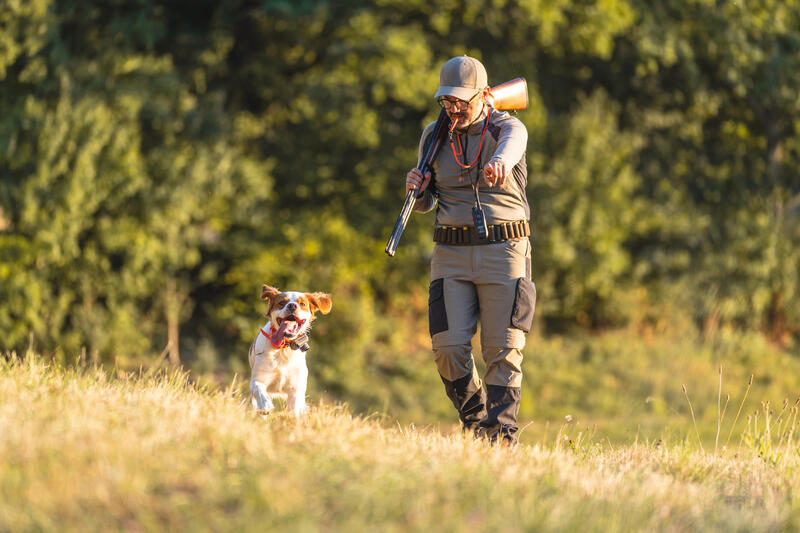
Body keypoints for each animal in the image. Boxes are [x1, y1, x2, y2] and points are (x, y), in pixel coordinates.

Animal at [245, 282, 330, 416]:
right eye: (281, 303)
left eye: (302, 304)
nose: (292, 305)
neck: (283, 348)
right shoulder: (258, 379)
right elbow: (259, 389)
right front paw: (266, 405)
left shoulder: (296, 388)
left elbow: (294, 409)